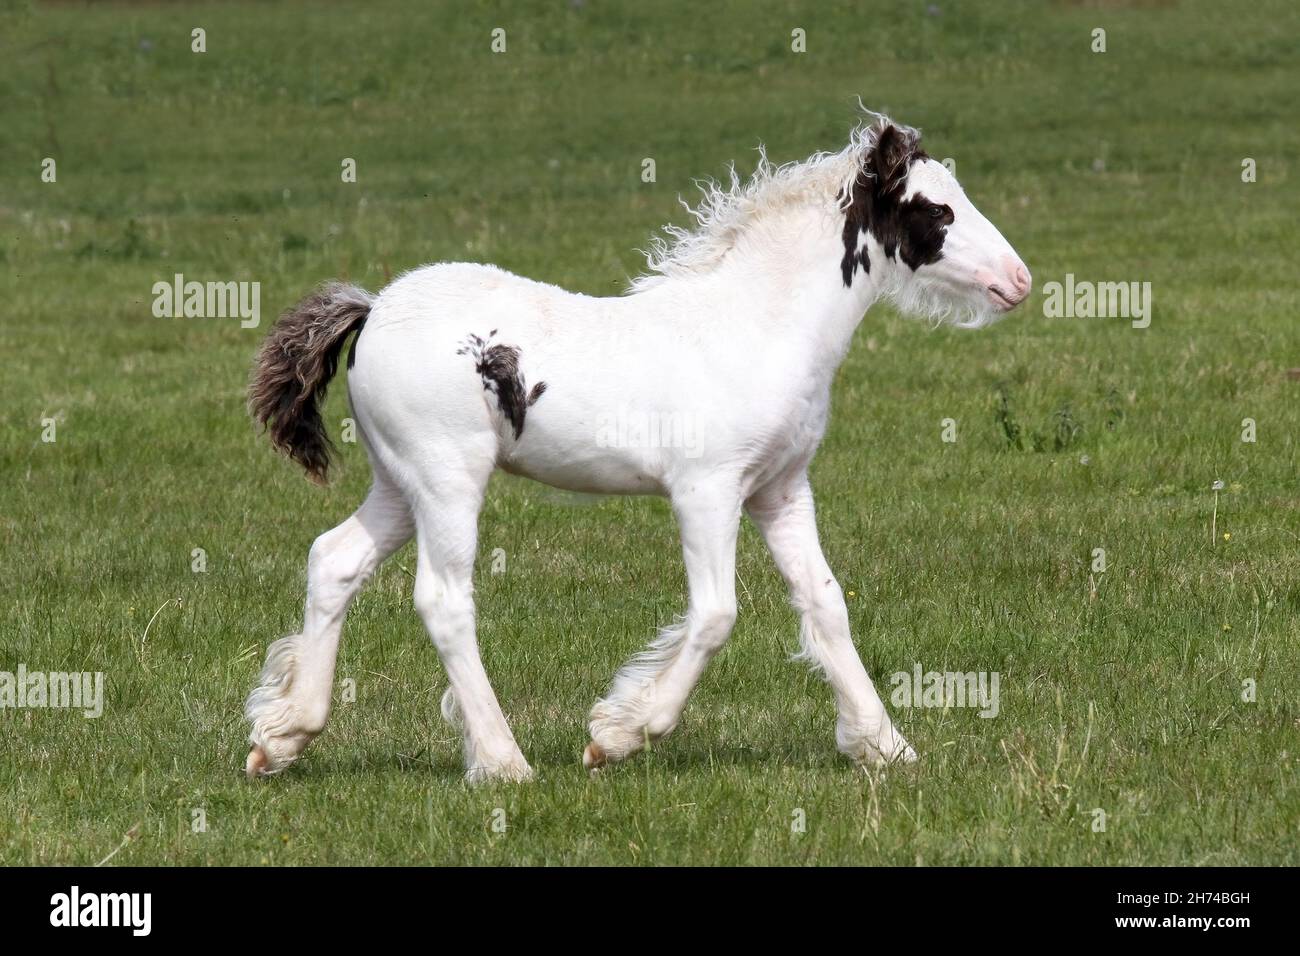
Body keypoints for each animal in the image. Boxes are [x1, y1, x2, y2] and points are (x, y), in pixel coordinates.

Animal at [245, 113, 1024, 785]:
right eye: (938, 211)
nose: (1018, 280)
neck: (756, 325)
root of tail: (373, 308)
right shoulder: (707, 490)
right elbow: (715, 615)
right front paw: (618, 735)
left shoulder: (780, 488)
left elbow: (825, 603)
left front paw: (883, 745)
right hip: (446, 481)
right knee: (442, 600)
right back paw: (503, 761)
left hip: (398, 482)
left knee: (334, 560)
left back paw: (282, 738)